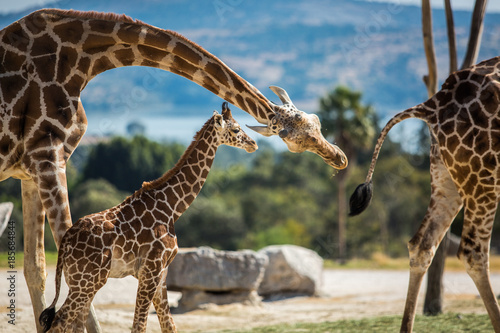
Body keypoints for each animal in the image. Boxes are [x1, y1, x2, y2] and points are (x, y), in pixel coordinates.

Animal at [39, 102, 258, 330]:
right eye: (236, 129)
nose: (253, 144)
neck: (172, 207)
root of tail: (65, 242)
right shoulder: (151, 269)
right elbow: (139, 325)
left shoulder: (161, 273)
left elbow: (169, 325)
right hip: (88, 281)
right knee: (59, 322)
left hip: (80, 281)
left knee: (71, 323)